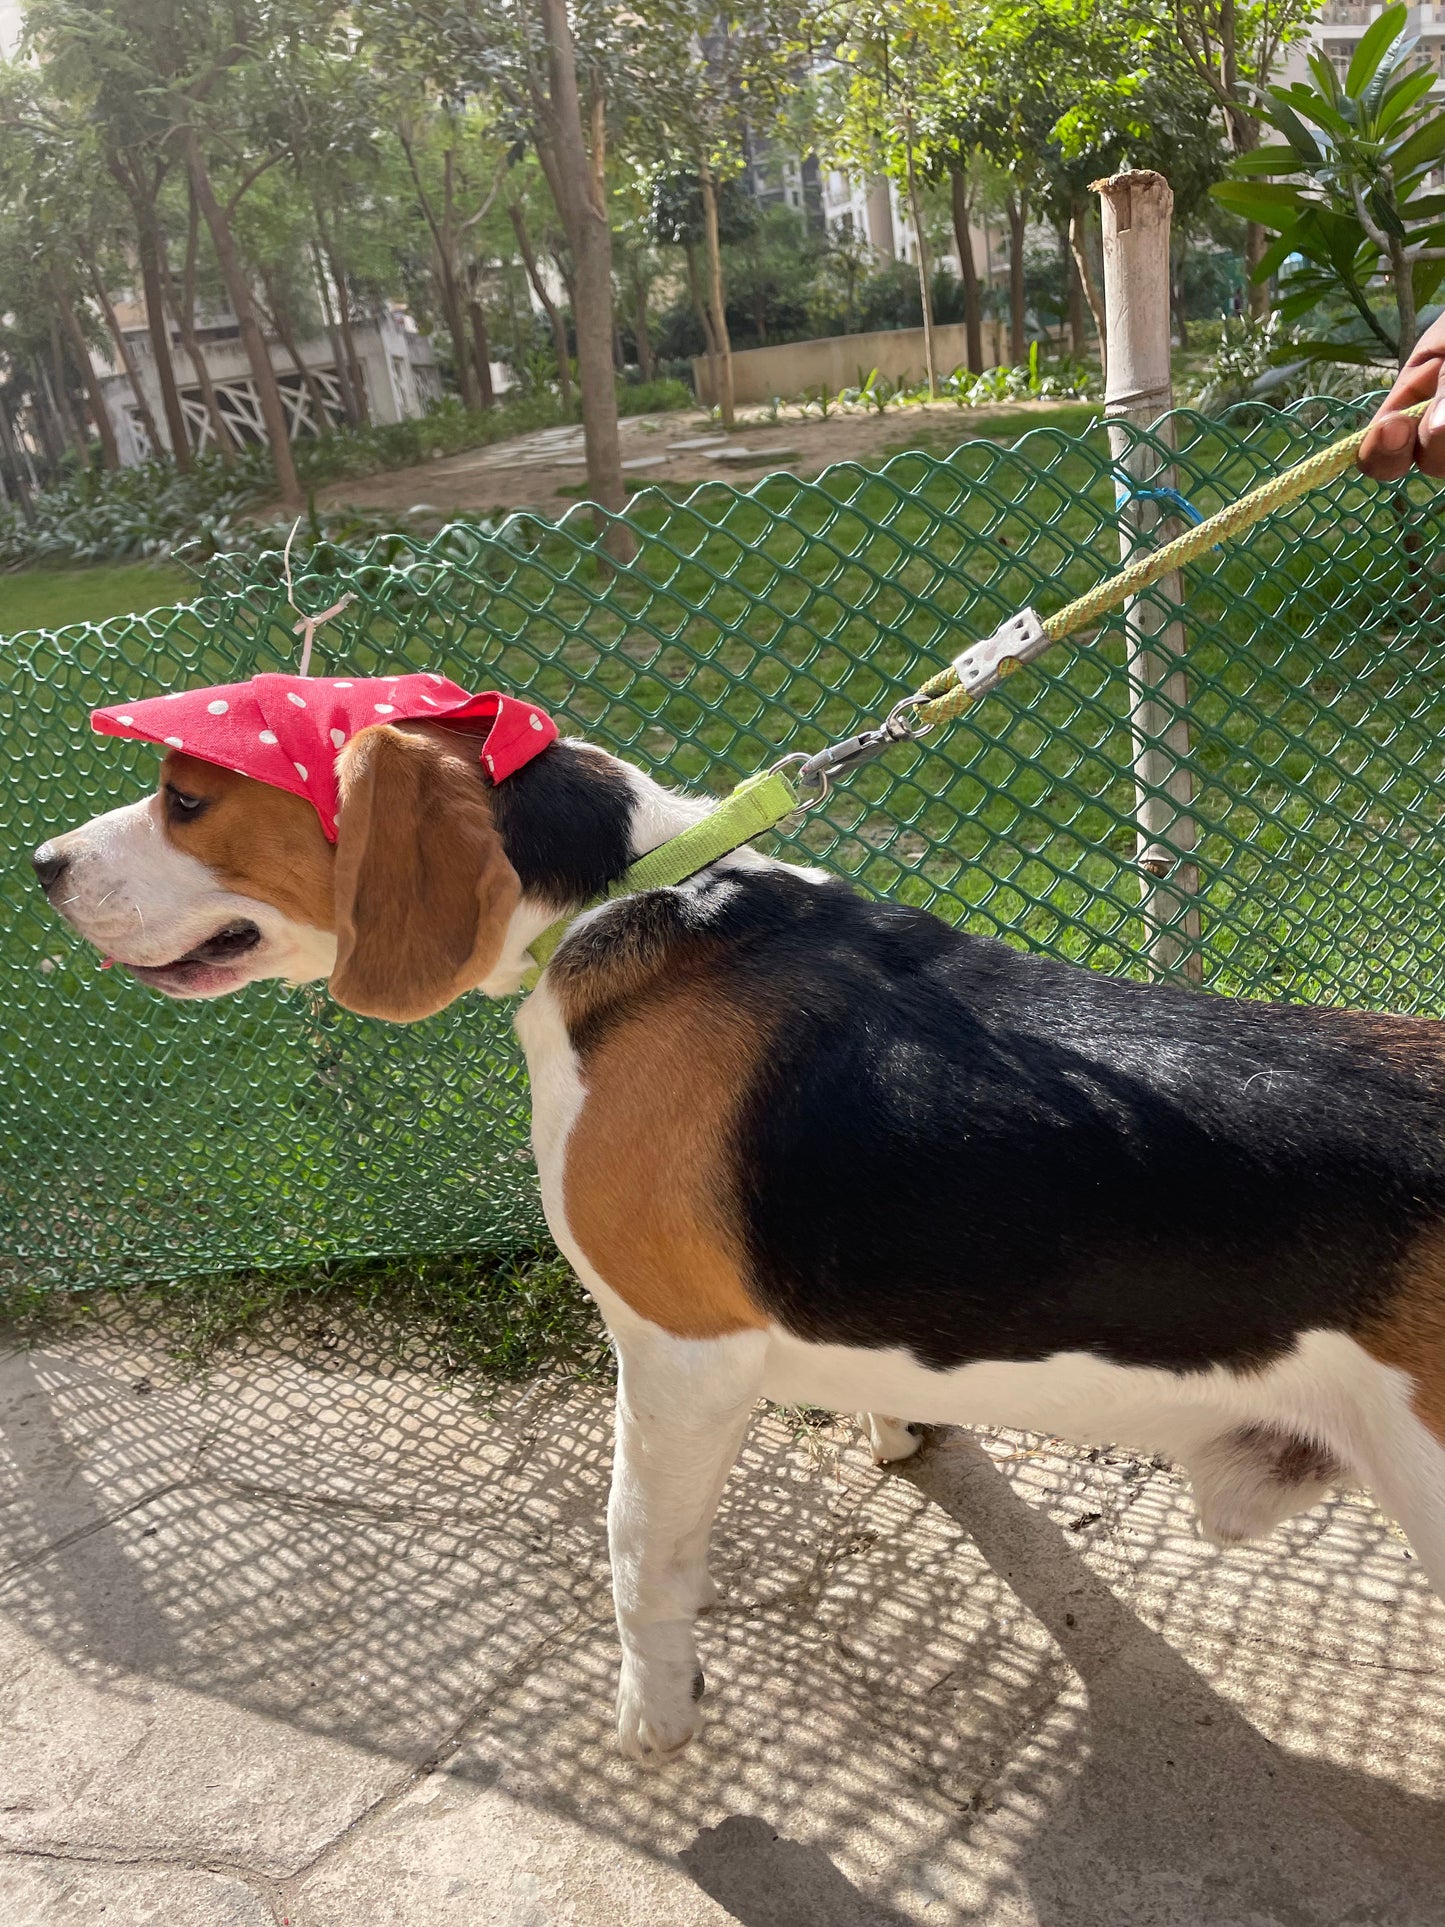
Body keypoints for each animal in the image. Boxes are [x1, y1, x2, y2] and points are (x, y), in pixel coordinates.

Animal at [31, 709, 1445, 1765]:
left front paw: (653, 1716)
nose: (41, 862)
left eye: (185, 799)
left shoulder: (677, 1357)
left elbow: (635, 1556)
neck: (612, 903)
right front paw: (898, 1435)